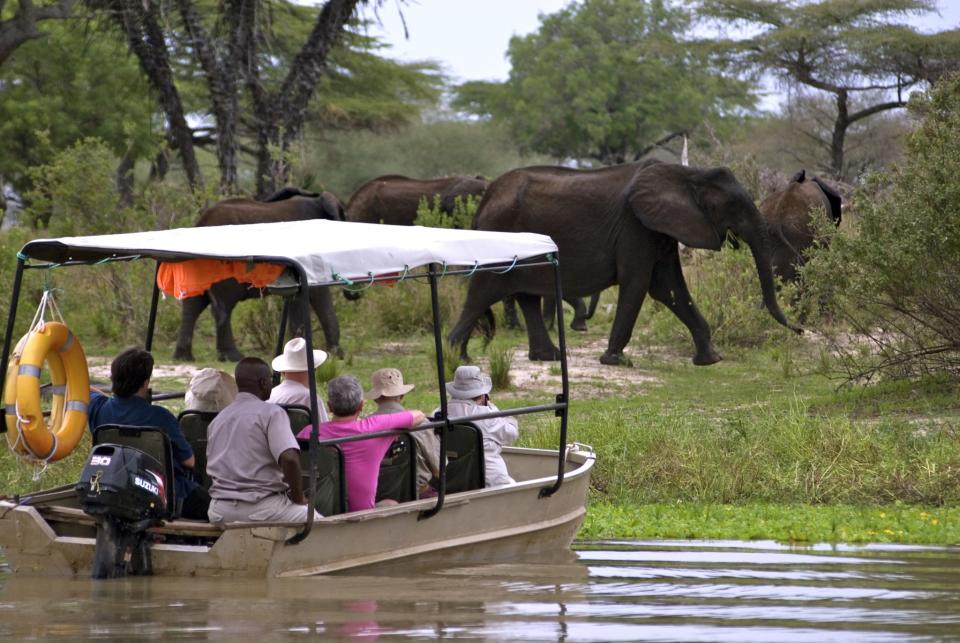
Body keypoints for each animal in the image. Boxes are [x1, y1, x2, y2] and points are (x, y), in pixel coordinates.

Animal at [174, 189, 346, 364]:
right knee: (223, 306)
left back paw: (184, 357)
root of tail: (200, 222)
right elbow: (318, 294)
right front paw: (335, 356)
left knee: (193, 304)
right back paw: (233, 357)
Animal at [446, 162, 800, 368]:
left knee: (525, 296)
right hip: (498, 237)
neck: (687, 174)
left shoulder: (658, 228)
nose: (801, 329)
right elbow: (639, 283)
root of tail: (484, 201)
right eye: (733, 205)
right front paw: (614, 361)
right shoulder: (635, 225)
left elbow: (668, 287)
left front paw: (710, 360)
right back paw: (457, 357)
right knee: (482, 293)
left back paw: (547, 357)